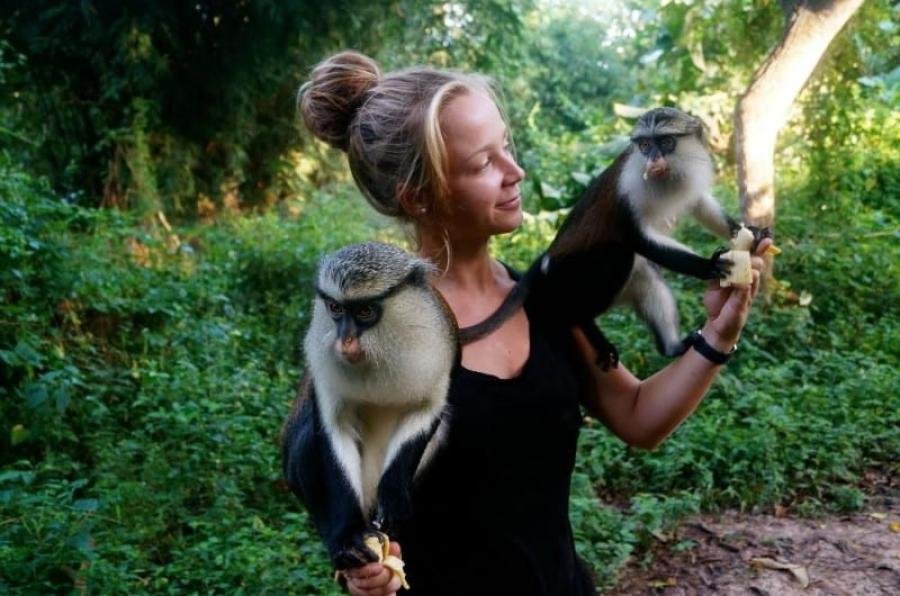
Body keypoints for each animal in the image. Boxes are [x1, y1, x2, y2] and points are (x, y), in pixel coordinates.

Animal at [281, 241, 458, 572]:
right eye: (336, 309)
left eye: (364, 311)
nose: (345, 341)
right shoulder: (323, 368)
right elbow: (333, 429)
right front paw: (347, 537)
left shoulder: (441, 353)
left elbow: (427, 412)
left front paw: (392, 499)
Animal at [459, 107, 768, 359]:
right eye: (645, 145)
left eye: (665, 142)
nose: (652, 160)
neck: (666, 181)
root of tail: (547, 259)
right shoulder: (628, 189)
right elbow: (637, 238)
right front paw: (710, 265)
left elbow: (700, 204)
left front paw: (750, 233)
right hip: (570, 275)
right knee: (618, 255)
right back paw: (582, 323)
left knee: (646, 274)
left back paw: (672, 347)